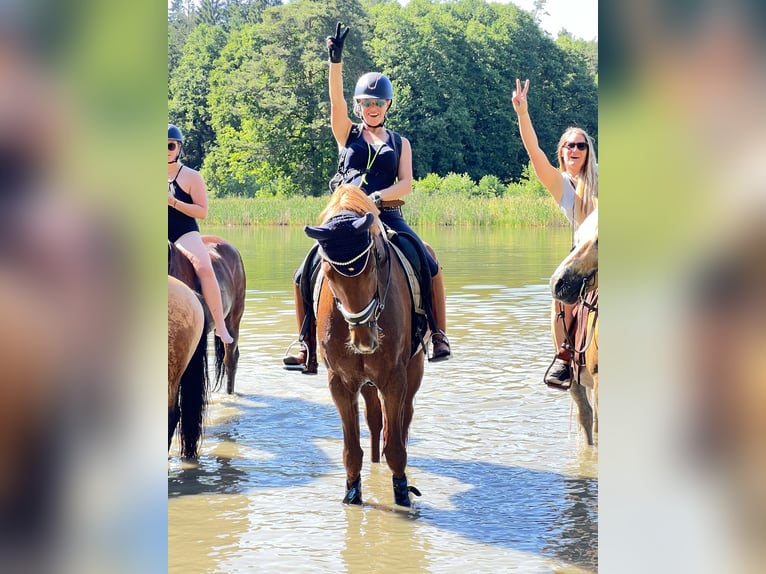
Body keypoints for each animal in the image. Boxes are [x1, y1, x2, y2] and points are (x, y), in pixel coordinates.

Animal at [306, 186, 426, 508]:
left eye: (375, 263)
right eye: (328, 272)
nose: (364, 340)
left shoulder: (394, 378)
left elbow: (396, 445)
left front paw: (402, 495)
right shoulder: (340, 382)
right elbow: (351, 449)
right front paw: (352, 493)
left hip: (413, 370)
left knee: (404, 418)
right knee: (374, 420)